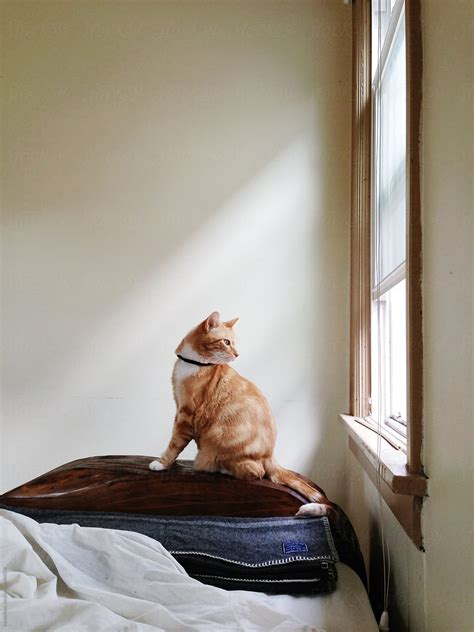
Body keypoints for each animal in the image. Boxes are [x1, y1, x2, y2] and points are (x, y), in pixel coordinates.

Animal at [151, 310, 330, 512]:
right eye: (227, 342)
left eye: (233, 343)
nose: (237, 354)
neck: (193, 364)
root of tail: (270, 455)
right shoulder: (178, 408)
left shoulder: (186, 413)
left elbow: (175, 443)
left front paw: (162, 463)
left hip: (218, 444)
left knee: (256, 472)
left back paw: (220, 468)